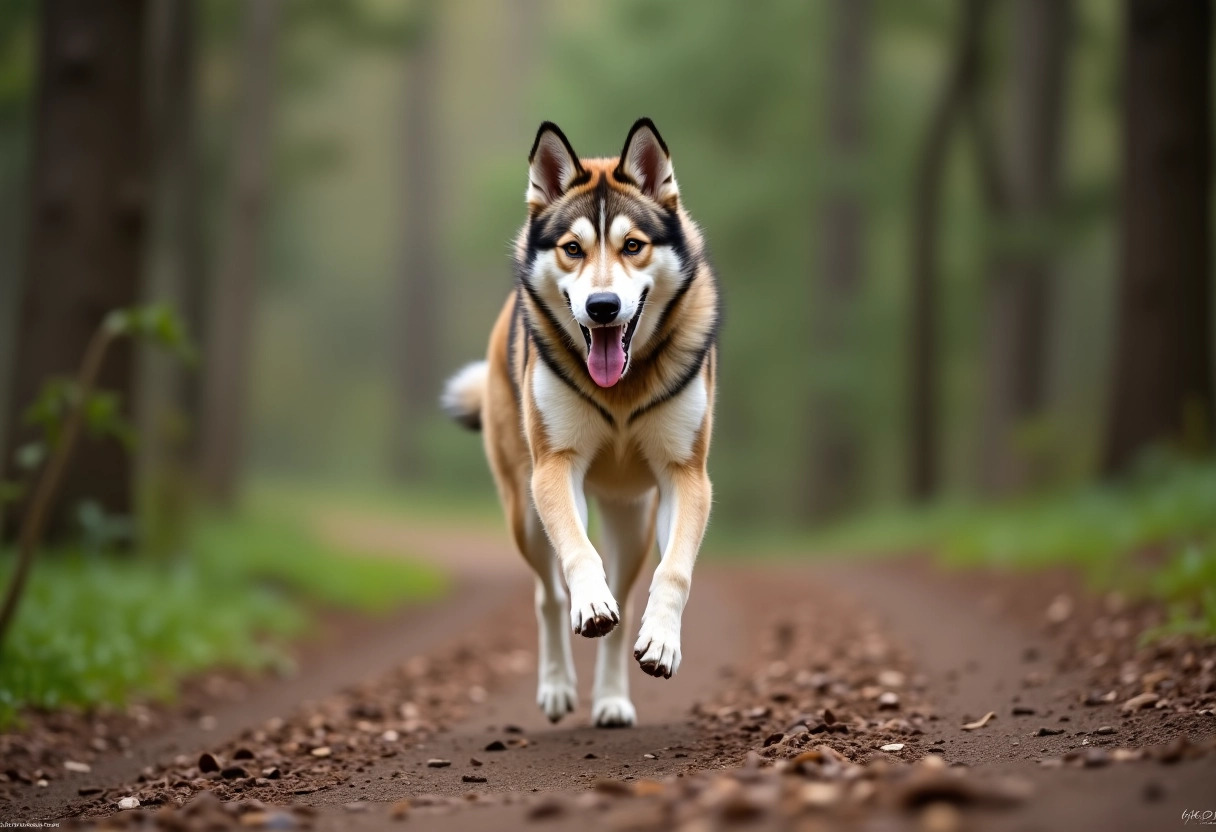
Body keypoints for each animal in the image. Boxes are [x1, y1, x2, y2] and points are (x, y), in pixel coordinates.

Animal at [442, 118, 715, 729]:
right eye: (573, 249)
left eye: (633, 246)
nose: (603, 306)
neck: (621, 392)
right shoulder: (555, 467)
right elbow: (578, 557)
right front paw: (591, 602)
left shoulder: (686, 474)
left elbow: (675, 572)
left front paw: (662, 642)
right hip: (523, 511)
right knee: (548, 594)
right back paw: (558, 685)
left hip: (632, 518)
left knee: (629, 595)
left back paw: (611, 697)